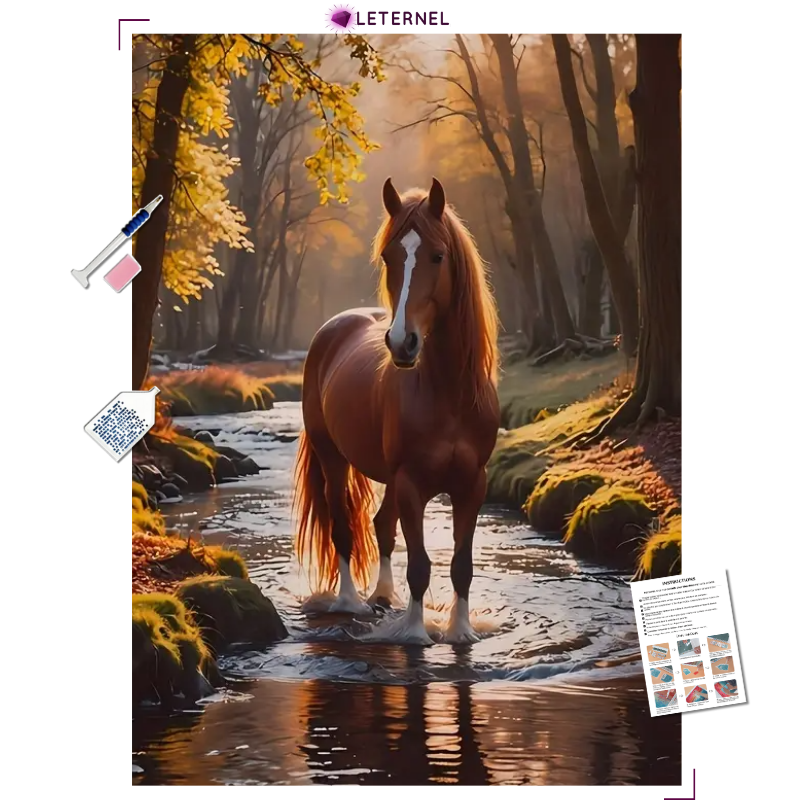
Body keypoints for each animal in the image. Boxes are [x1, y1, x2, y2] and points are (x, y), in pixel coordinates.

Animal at [293, 177, 500, 644]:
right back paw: (350, 602)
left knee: (381, 526)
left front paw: (461, 631)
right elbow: (420, 565)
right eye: (389, 256)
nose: (402, 342)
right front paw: (415, 633)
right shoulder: (411, 484)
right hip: (334, 459)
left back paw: (383, 596)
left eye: (438, 255)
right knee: (344, 528)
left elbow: (461, 566)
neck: (449, 394)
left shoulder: (472, 484)